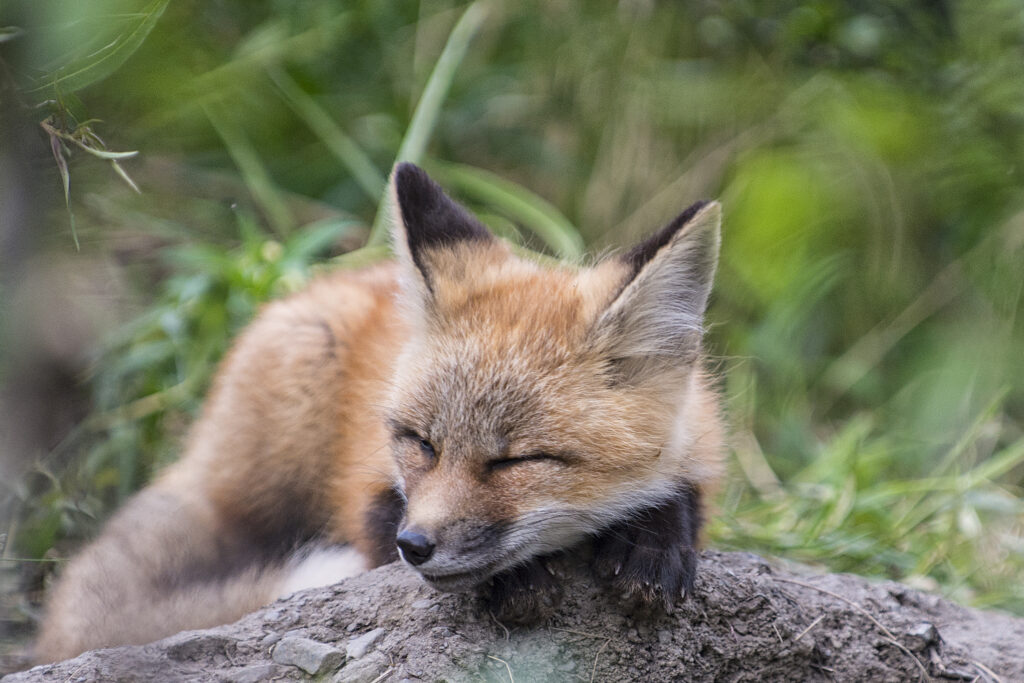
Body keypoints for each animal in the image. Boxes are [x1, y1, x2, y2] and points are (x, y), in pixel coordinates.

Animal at [33, 163, 725, 663]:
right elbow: (381, 522)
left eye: (518, 461)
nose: (415, 547)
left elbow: (679, 496)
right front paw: (520, 578)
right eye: (420, 443)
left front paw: (652, 543)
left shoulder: (700, 437)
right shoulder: (369, 491)